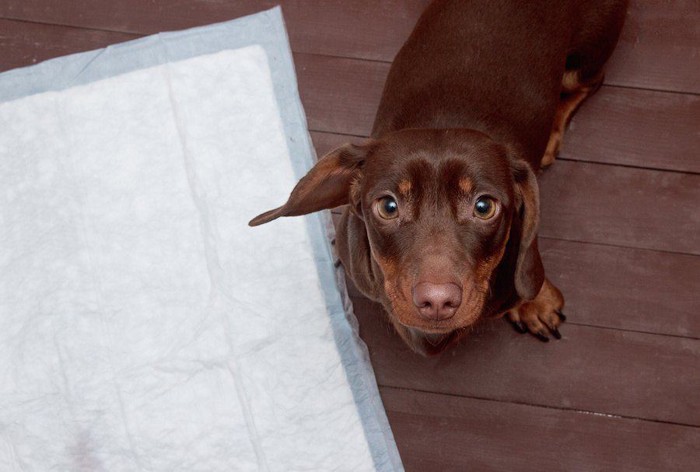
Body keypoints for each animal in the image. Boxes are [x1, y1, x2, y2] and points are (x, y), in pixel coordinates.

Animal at [252, 0, 628, 354]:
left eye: (484, 206)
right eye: (388, 206)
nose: (436, 302)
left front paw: (534, 300)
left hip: (584, 60)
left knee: (590, 83)